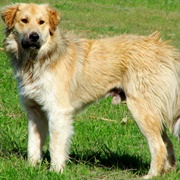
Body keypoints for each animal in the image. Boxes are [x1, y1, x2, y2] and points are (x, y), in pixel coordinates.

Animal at [1, 2, 180, 179]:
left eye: (41, 22)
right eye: (24, 20)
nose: (34, 37)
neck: (38, 60)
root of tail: (163, 49)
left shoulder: (58, 112)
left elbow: (55, 145)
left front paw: (56, 171)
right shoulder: (34, 112)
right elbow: (33, 143)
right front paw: (31, 168)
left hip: (141, 111)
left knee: (159, 145)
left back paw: (152, 175)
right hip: (152, 113)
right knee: (167, 143)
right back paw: (168, 171)